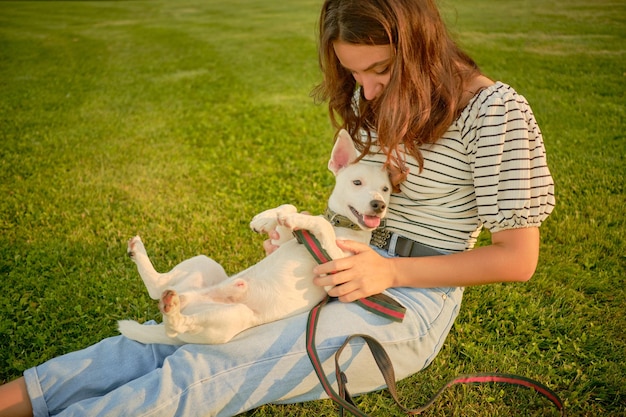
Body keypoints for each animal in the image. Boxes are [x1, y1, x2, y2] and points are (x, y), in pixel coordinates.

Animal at [117, 128, 390, 342]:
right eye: (357, 183)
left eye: (386, 189)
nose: (379, 204)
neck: (343, 225)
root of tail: (188, 300)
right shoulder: (288, 240)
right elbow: (290, 208)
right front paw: (266, 219)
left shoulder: (337, 272)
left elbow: (319, 224)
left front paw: (294, 219)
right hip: (205, 265)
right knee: (157, 287)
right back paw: (139, 253)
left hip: (232, 316)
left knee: (175, 322)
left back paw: (171, 308)